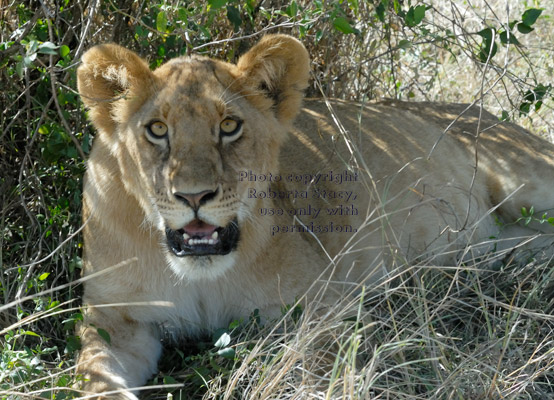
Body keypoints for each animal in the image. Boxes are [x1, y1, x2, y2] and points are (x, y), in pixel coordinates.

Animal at [75, 34, 552, 396]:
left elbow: (316, 370)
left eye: (229, 126)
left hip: (526, 180)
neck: (200, 275)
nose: (194, 196)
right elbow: (94, 375)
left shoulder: (324, 306)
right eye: (157, 130)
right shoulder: (114, 319)